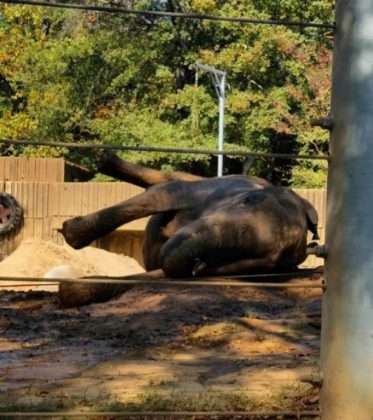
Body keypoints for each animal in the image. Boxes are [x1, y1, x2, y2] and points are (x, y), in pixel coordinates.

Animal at [58, 153, 320, 306]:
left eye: (268, 259)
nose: (200, 261)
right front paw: (69, 233)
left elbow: (165, 274)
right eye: (248, 200)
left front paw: (71, 289)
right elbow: (164, 194)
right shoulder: (208, 193)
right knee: (167, 180)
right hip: (213, 180)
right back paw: (106, 159)